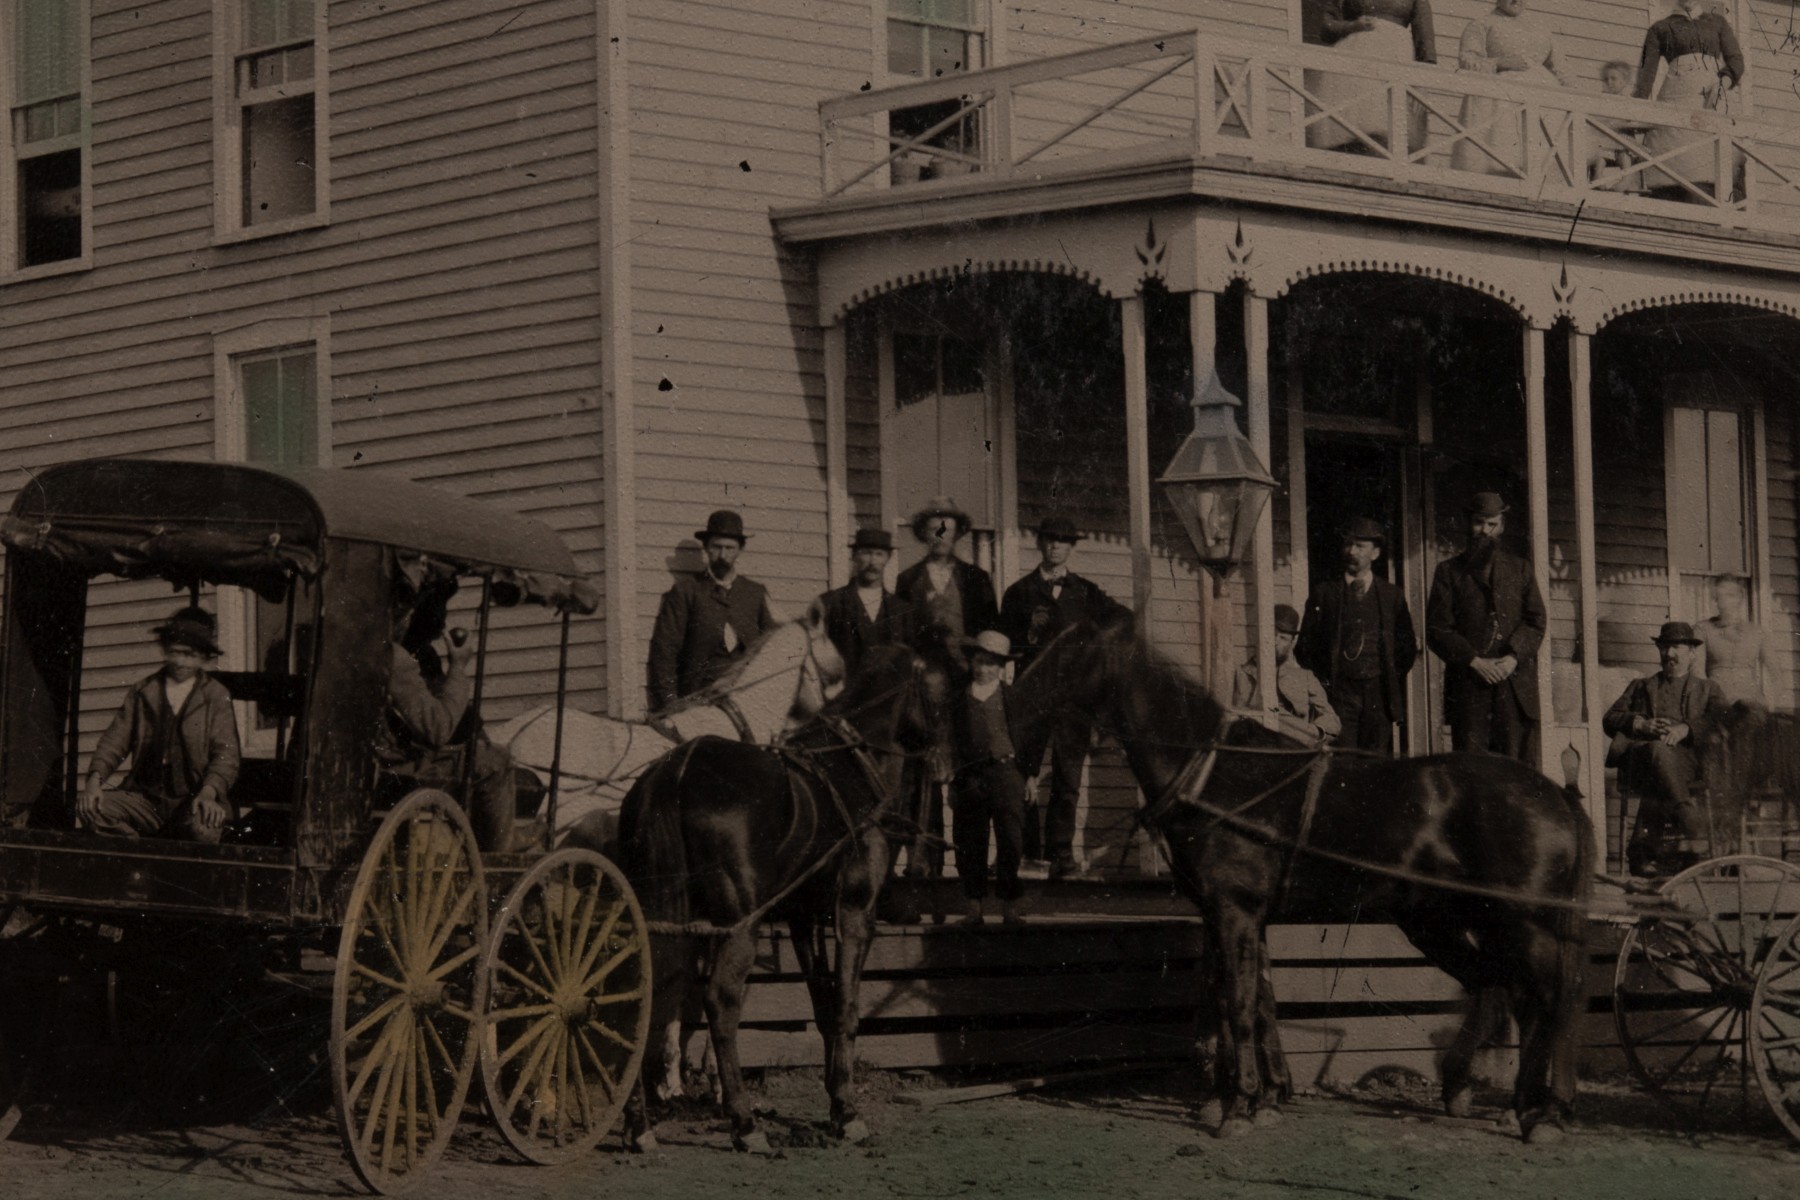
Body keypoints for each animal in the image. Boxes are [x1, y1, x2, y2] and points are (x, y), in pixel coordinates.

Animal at [615, 644, 936, 1151]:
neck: (849, 768)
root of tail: (676, 770)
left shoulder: (805, 919)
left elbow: (823, 1006)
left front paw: (836, 1103)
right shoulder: (854, 913)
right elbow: (845, 1008)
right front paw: (847, 1110)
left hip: (662, 913)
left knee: (646, 992)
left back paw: (639, 1123)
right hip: (740, 924)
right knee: (722, 1003)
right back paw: (744, 1121)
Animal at [1008, 618, 1598, 1144]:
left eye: (1070, 648)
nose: (1012, 703)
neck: (1214, 772)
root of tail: (1557, 795)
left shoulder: (1235, 911)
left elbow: (1238, 1003)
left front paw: (1239, 1106)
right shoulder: (1236, 916)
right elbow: (1255, 1000)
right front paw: (1263, 1097)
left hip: (1521, 922)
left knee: (1557, 993)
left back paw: (1548, 1112)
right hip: (1450, 922)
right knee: (1505, 987)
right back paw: (1492, 1095)